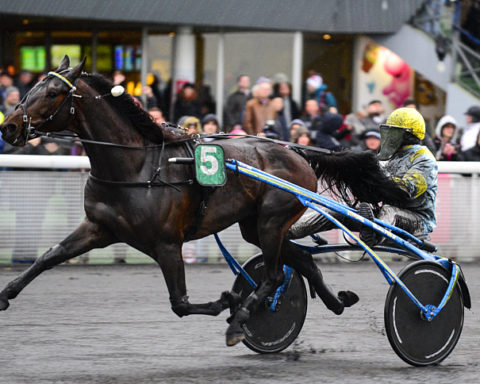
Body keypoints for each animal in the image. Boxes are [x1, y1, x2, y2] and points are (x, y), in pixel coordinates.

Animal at [0, 57, 408, 348]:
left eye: (53, 92)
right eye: (32, 85)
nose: (10, 126)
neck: (136, 165)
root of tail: (298, 152)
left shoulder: (166, 243)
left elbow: (180, 303)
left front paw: (228, 302)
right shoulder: (98, 228)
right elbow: (48, 256)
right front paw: (5, 295)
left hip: (272, 219)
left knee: (275, 275)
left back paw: (242, 318)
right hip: (258, 226)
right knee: (302, 260)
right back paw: (336, 301)